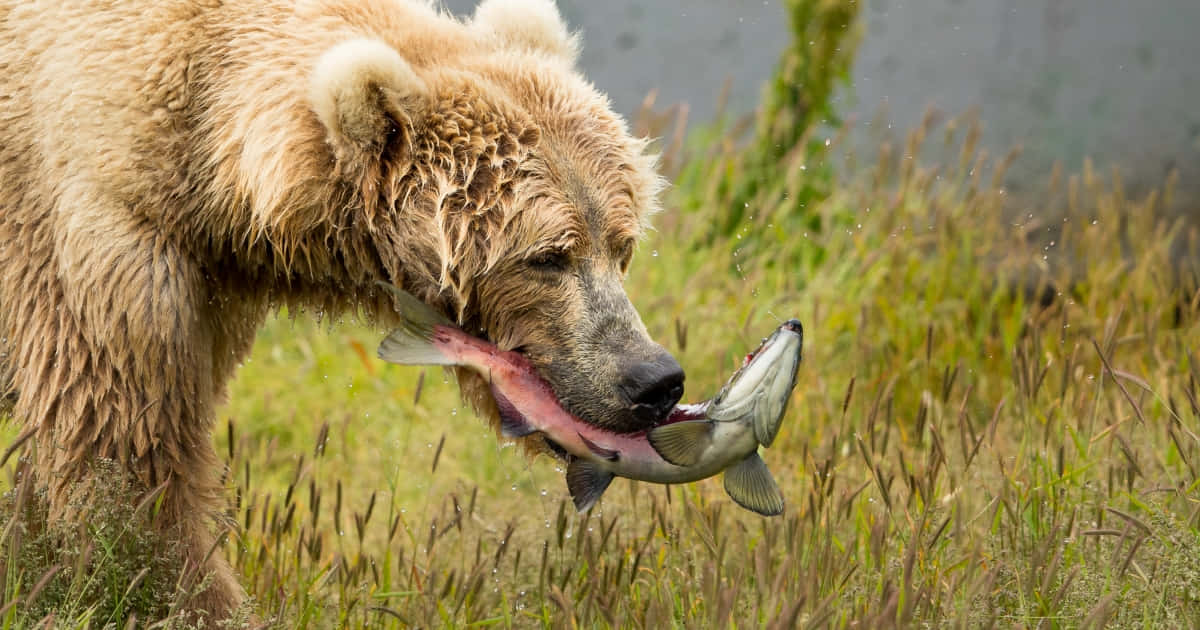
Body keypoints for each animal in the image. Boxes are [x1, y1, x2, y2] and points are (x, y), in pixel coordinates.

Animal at [0, 0, 684, 619]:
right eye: (548, 257)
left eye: (621, 244)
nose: (653, 379)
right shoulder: (96, 228)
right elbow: (123, 448)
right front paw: (187, 597)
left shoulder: (209, 283)